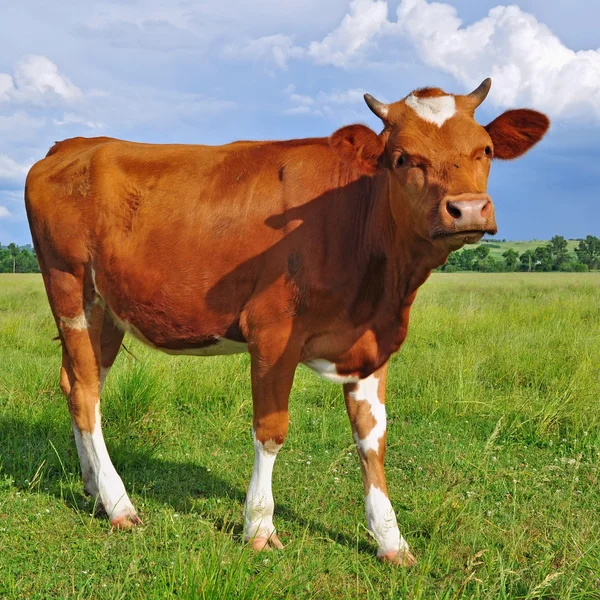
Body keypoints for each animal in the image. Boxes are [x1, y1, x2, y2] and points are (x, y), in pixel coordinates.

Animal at [23, 77, 548, 564]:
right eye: (402, 158)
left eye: (485, 150)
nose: (468, 209)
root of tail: (72, 145)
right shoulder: (272, 333)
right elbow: (271, 430)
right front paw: (258, 527)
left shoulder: (371, 344)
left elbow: (372, 440)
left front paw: (390, 540)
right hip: (70, 287)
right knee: (86, 392)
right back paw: (119, 504)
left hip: (107, 309)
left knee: (78, 383)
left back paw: (93, 487)